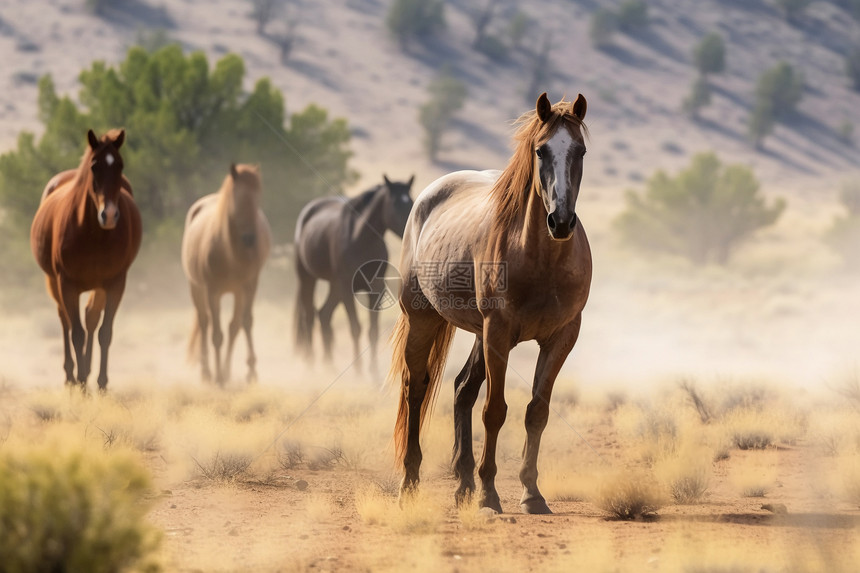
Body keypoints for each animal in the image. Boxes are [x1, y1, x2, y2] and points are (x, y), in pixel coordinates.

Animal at [30, 128, 143, 392]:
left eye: (120, 165)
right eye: (94, 166)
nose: (109, 215)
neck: (92, 233)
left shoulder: (115, 283)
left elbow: (104, 331)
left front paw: (101, 383)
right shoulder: (66, 284)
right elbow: (77, 333)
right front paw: (81, 382)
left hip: (98, 286)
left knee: (91, 317)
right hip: (53, 281)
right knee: (65, 321)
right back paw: (71, 376)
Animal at [182, 163, 272, 384]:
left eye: (258, 198)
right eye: (237, 199)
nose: (250, 239)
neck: (230, 254)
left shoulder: (249, 286)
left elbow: (245, 323)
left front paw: (251, 371)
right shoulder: (212, 291)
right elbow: (216, 335)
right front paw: (218, 377)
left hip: (237, 293)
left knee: (234, 327)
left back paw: (227, 371)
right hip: (196, 288)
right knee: (204, 323)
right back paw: (208, 372)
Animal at [390, 92, 592, 512]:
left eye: (580, 150)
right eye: (540, 150)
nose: (561, 221)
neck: (541, 260)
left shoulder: (562, 337)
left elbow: (537, 412)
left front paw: (531, 493)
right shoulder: (498, 334)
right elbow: (495, 411)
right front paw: (489, 493)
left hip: (479, 334)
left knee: (461, 389)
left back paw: (463, 484)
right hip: (424, 320)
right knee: (416, 387)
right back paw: (411, 482)